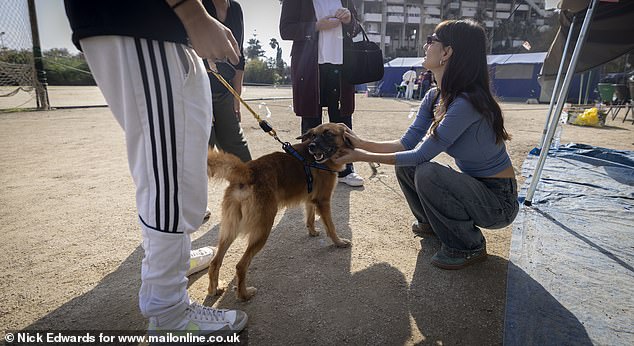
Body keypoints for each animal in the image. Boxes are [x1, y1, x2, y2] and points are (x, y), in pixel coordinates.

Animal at [206, 123, 350, 302]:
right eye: (314, 135)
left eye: (328, 134)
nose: (312, 146)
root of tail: (248, 171)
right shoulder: (323, 202)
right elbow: (331, 227)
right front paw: (339, 242)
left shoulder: (310, 199)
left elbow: (309, 217)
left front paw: (312, 231)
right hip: (263, 229)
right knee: (240, 266)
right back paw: (244, 294)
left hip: (229, 230)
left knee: (215, 262)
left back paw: (214, 289)